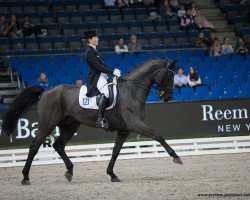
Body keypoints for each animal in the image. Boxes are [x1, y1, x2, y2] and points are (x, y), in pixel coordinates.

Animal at [0, 57, 183, 185]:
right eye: (169, 75)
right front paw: (176, 157)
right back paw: (25, 177)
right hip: (47, 123)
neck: (131, 91)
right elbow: (158, 136)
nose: (168, 97)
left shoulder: (124, 130)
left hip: (70, 125)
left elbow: (115, 151)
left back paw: (69, 172)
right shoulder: (135, 124)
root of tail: (46, 91)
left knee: (58, 145)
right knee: (34, 146)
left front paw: (112, 174)